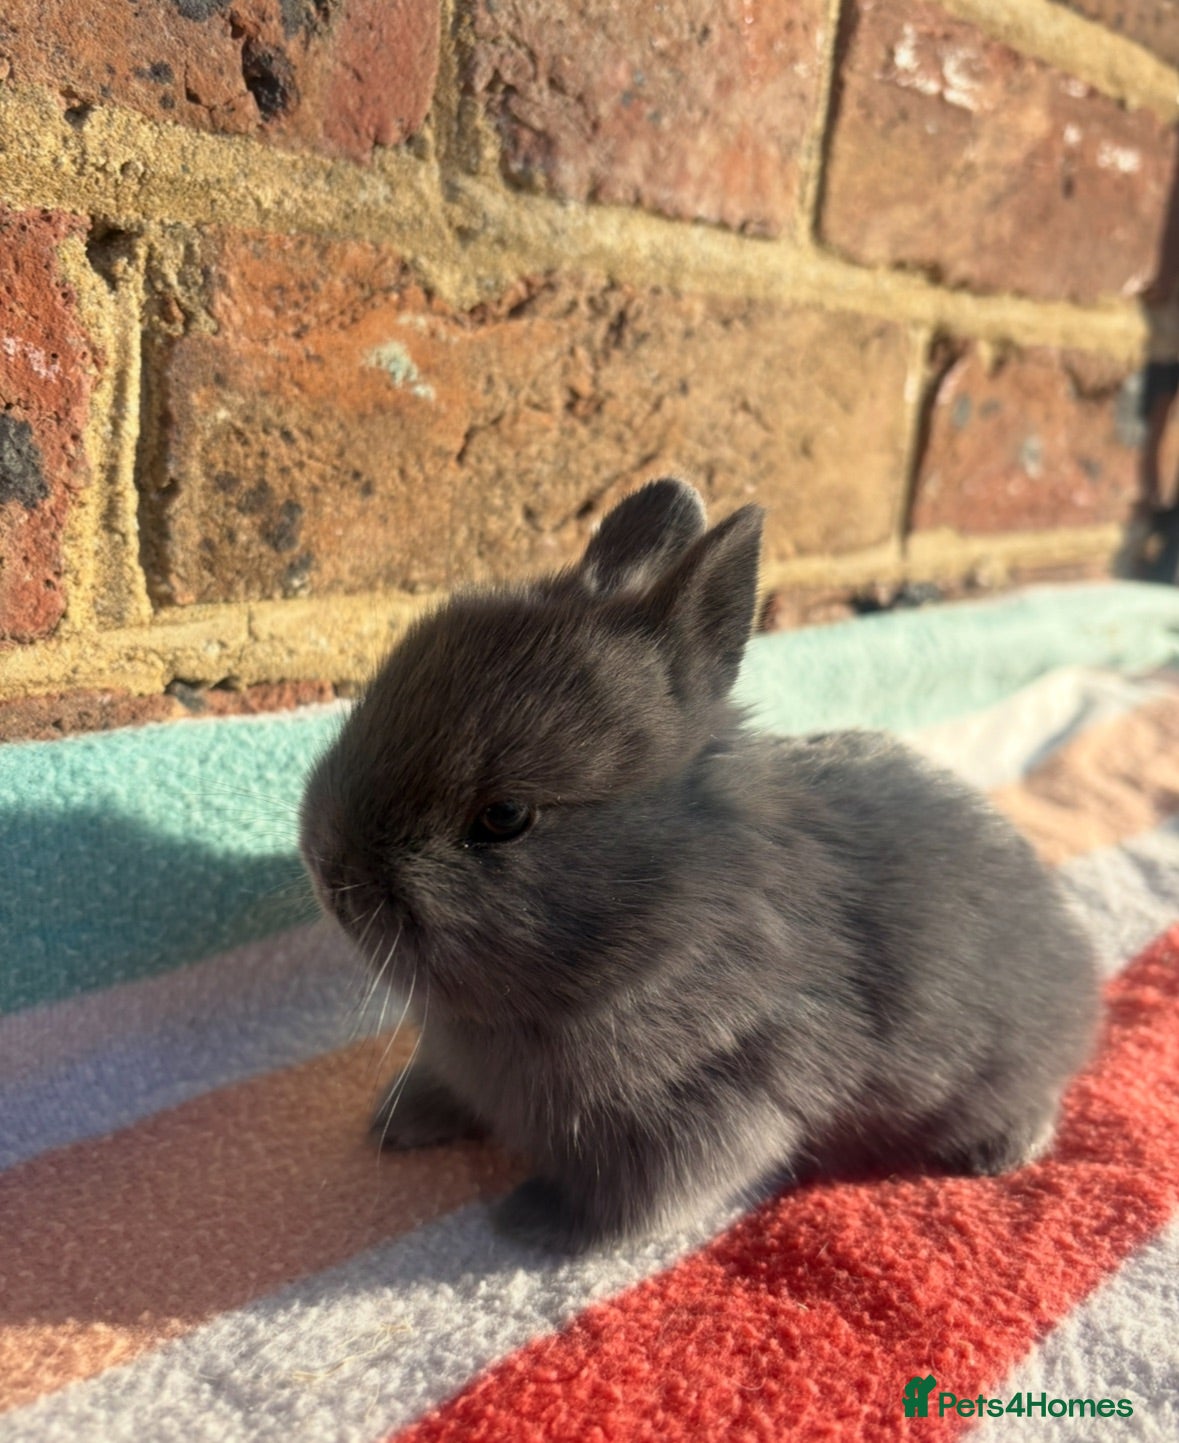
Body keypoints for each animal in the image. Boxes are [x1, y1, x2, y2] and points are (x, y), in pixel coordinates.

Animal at [299, 479, 1101, 1253]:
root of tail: (1078, 966)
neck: (669, 916)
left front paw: (531, 1222)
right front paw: (395, 1121)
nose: (328, 871)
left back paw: (1001, 1151)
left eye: (504, 817)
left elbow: (642, 1201)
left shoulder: (722, 1099)